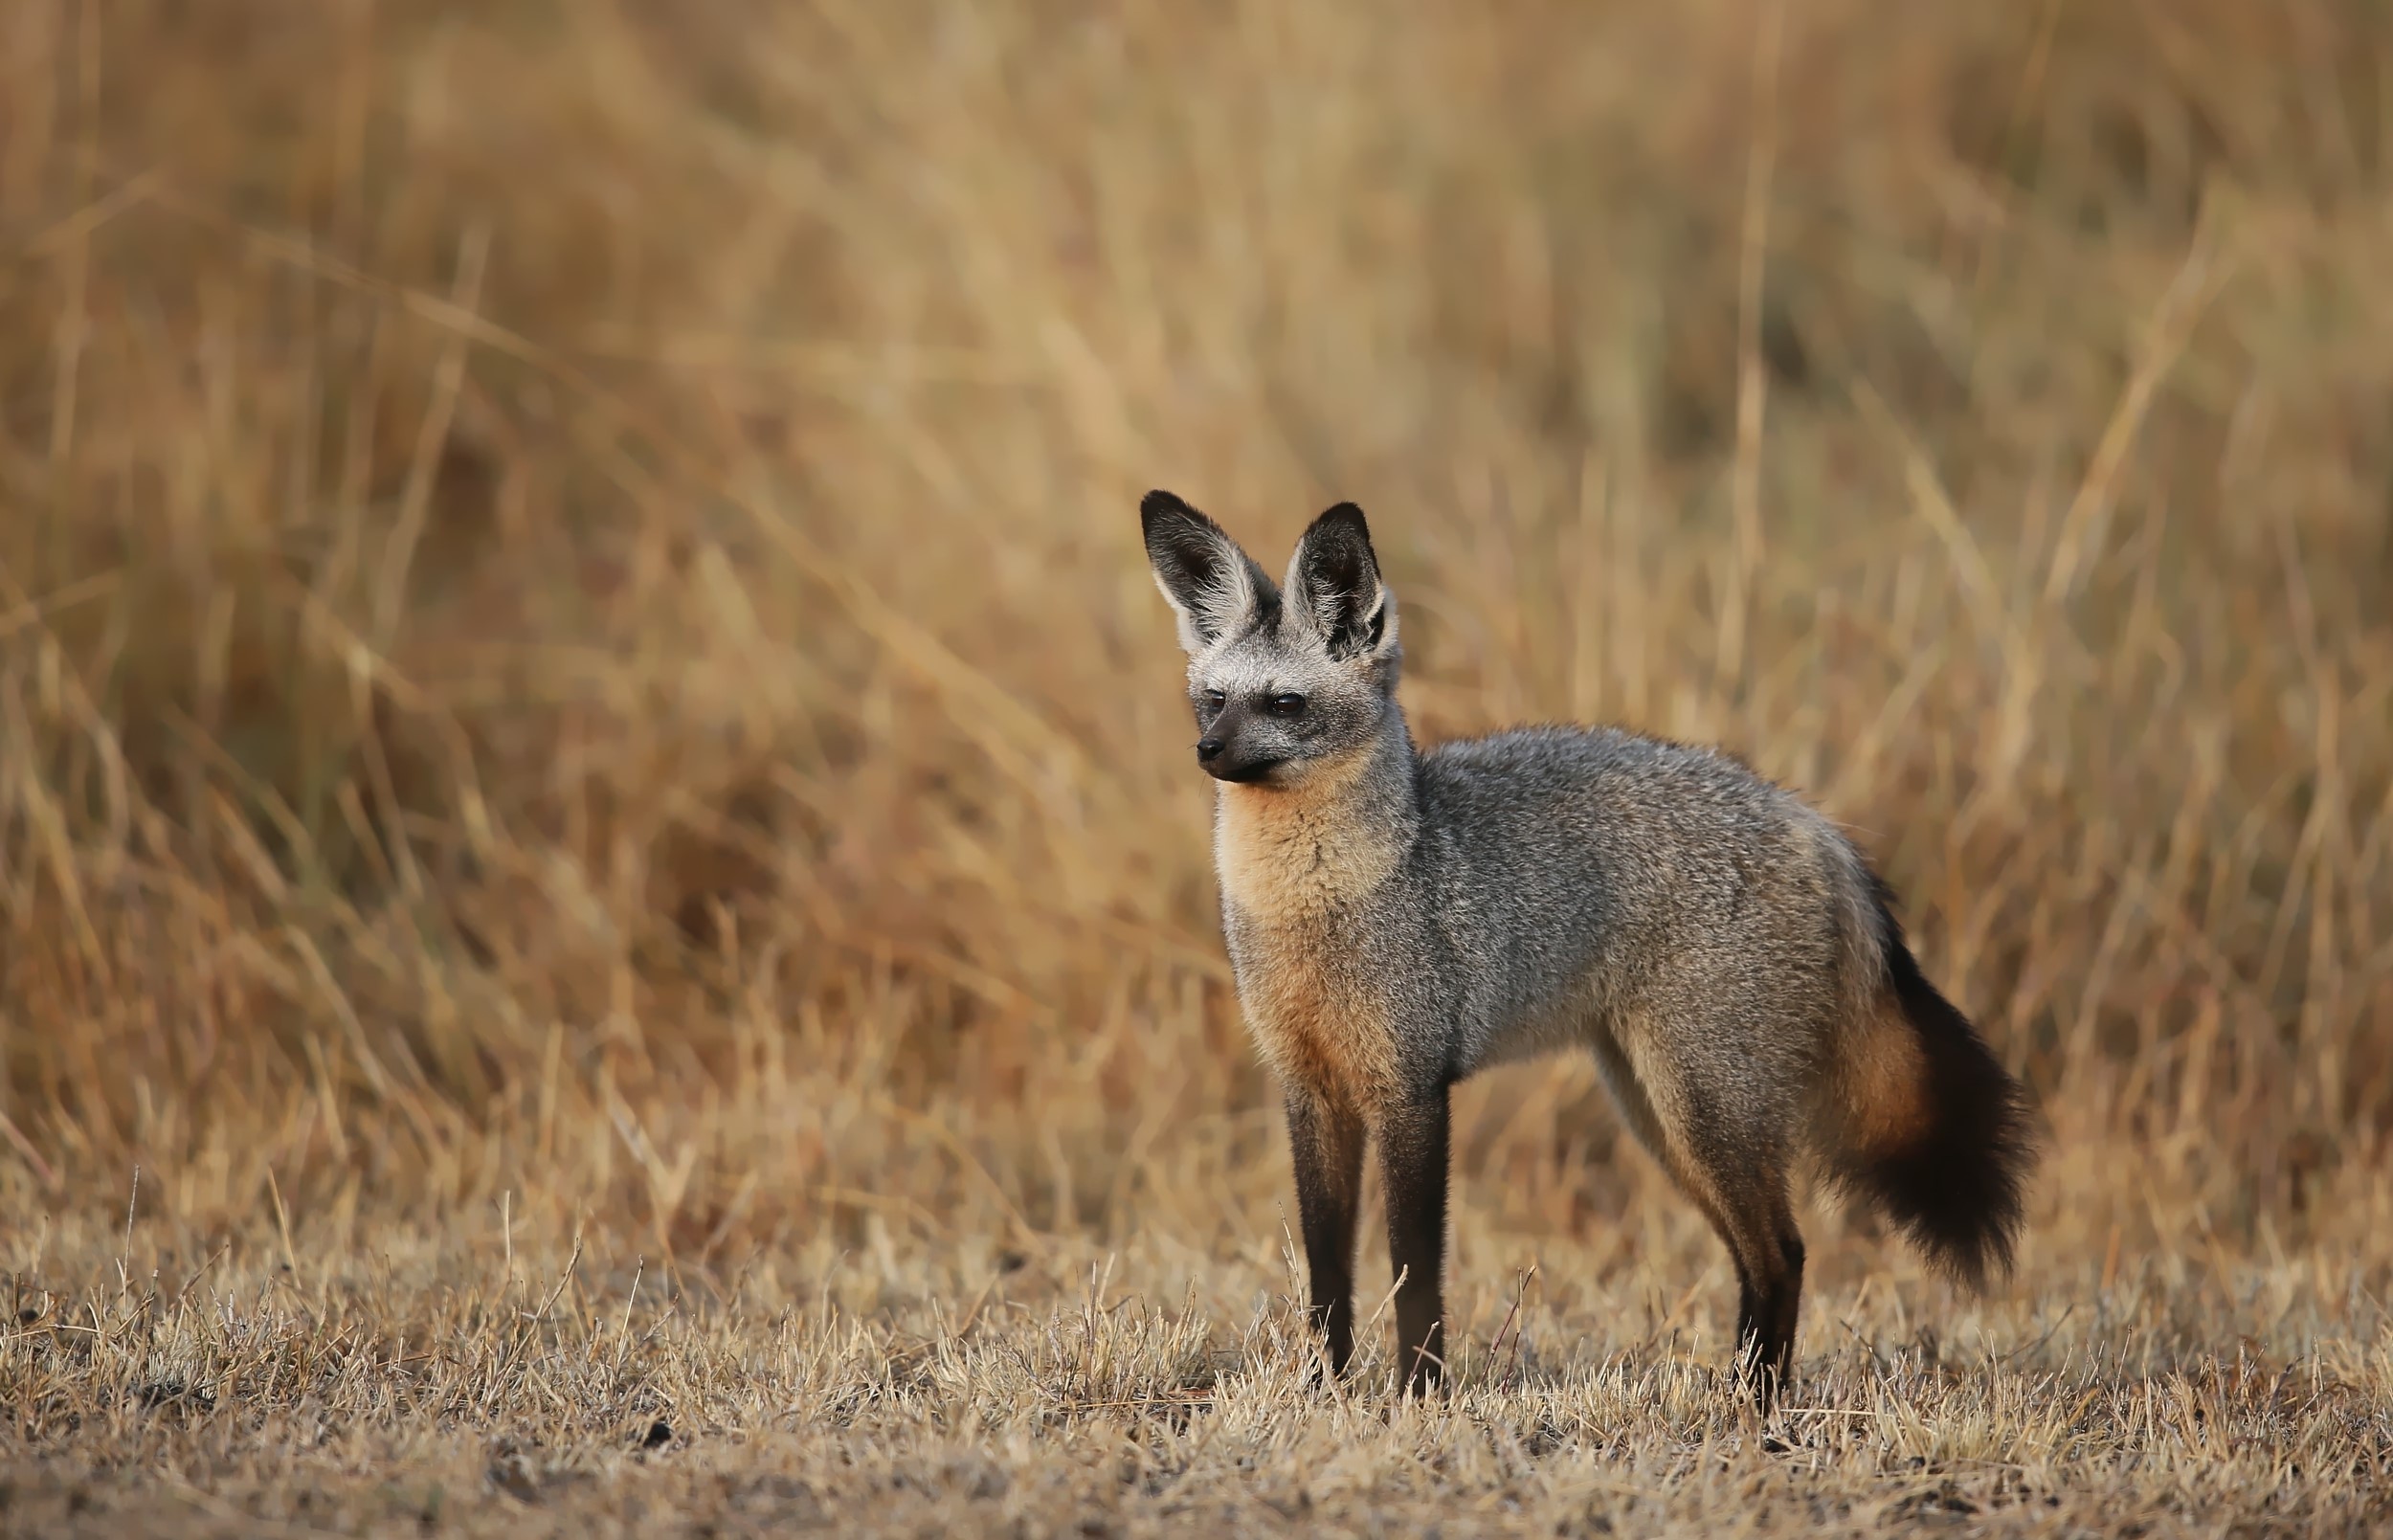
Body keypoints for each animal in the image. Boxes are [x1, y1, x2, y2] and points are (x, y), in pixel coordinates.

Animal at [1138, 489, 2035, 1404]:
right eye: (1214, 699)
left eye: (1283, 704)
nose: (1207, 751)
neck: (1316, 904)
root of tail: (1814, 823)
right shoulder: (1309, 1090)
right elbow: (1327, 1278)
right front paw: (1324, 1391)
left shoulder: (1412, 1089)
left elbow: (1415, 1271)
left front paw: (1420, 1394)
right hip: (1660, 1113)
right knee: (1763, 1257)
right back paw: (1742, 1393)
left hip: (1702, 1107)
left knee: (1784, 1251)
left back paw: (1755, 1406)